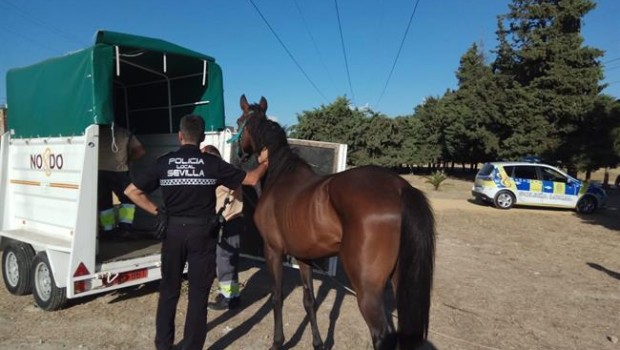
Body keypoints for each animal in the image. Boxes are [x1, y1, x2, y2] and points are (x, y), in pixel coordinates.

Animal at [236, 95, 436, 350]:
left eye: (239, 121)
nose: (240, 155)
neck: (281, 176)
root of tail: (400, 188)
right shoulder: (303, 256)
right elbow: (309, 300)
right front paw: (318, 343)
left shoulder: (273, 250)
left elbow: (277, 297)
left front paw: (278, 342)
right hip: (401, 282)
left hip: (367, 291)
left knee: (381, 335)